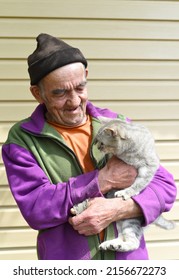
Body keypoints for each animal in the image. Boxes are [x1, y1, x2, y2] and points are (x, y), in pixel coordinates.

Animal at [70, 117, 175, 253]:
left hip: (130, 221)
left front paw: (126, 192)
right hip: (121, 221)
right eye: (96, 141)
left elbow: (139, 183)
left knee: (133, 242)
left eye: (101, 143)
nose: (98, 147)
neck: (127, 154)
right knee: (121, 236)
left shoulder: (149, 166)